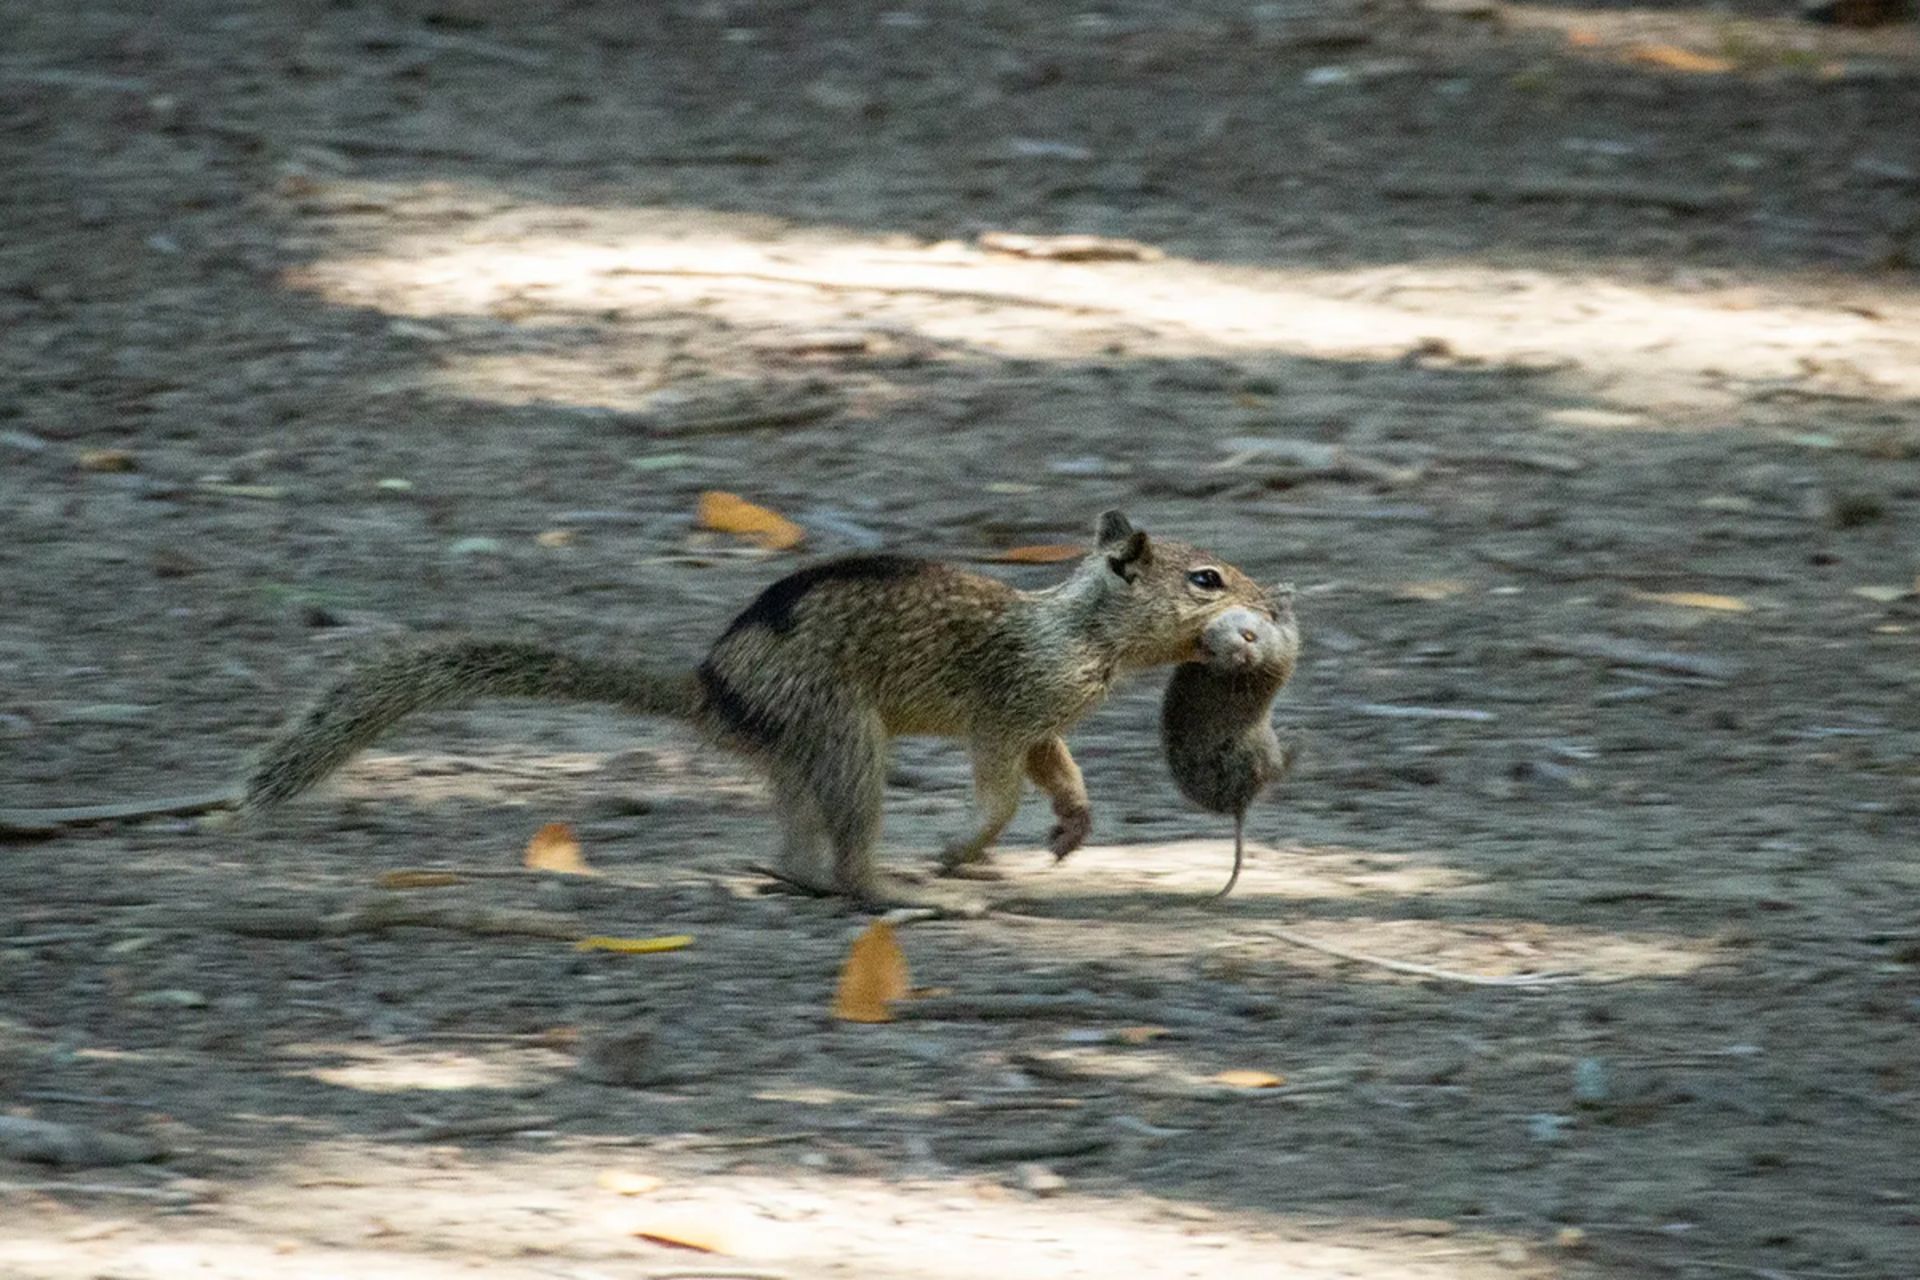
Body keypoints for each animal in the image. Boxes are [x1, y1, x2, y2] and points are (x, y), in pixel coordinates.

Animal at [247, 510, 1282, 909]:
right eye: (1205, 579)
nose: (1273, 605)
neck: (1082, 629)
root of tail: (710, 689)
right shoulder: (1009, 706)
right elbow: (999, 788)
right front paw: (965, 846)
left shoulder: (1043, 720)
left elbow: (1056, 770)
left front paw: (1071, 827)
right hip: (845, 735)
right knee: (852, 846)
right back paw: (893, 888)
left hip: (802, 752)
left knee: (797, 840)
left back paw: (798, 877)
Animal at [1152, 594, 1305, 901]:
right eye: (1213, 652)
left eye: (1248, 636)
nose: (1243, 656)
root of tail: (1238, 804)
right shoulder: (1282, 650)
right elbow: (1291, 634)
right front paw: (1283, 599)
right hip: (1262, 750)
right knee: (1277, 771)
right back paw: (1297, 742)